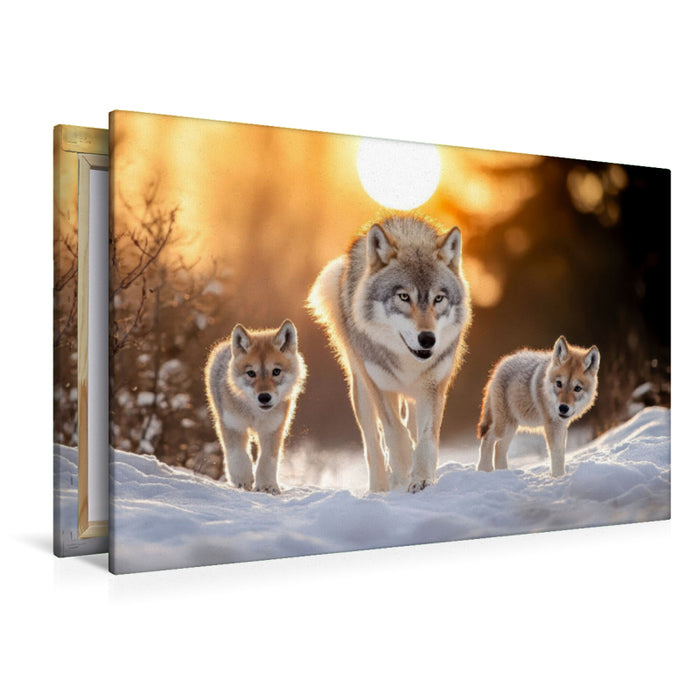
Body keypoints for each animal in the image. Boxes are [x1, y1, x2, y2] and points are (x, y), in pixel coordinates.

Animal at [205, 320, 307, 494]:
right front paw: (242, 480)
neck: (255, 414)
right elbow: (238, 456)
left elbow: (267, 461)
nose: (264, 397)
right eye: (251, 373)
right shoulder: (233, 426)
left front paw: (266, 486)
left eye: (276, 371)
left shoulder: (272, 430)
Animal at [307, 213, 471, 492]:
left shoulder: (434, 387)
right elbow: (395, 434)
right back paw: (381, 487)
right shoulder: (380, 386)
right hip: (361, 391)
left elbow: (426, 439)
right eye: (404, 296)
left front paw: (422, 479)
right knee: (374, 444)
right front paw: (404, 473)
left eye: (438, 299)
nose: (427, 339)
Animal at [477, 336, 600, 477]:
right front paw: (558, 478)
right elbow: (556, 455)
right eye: (559, 383)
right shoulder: (552, 425)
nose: (563, 408)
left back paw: (503, 473)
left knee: (499, 447)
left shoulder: (562, 426)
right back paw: (484, 470)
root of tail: (498, 368)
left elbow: (561, 453)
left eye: (577, 388)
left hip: (511, 427)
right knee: (488, 438)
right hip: (504, 426)